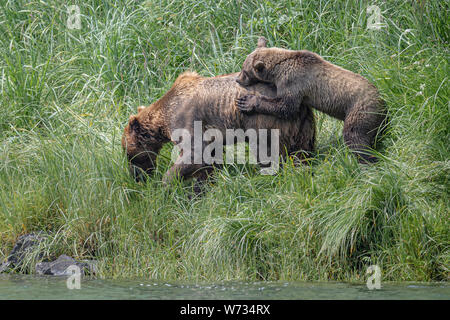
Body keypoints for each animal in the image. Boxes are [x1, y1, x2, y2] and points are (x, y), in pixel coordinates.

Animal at [236, 37, 386, 162]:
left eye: (245, 71)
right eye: (243, 67)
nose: (238, 79)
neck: (278, 70)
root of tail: (381, 101)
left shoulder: (293, 82)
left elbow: (286, 107)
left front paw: (247, 101)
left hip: (360, 110)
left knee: (355, 136)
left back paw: (366, 159)